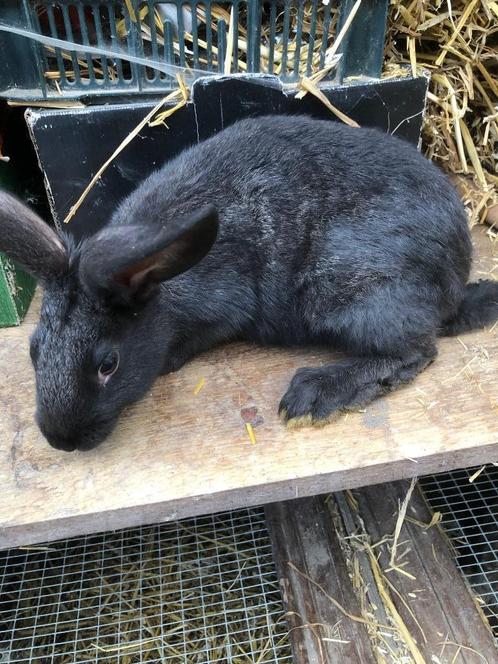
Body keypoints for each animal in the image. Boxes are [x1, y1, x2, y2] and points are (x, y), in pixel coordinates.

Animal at [0, 116, 498, 454]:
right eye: (34, 350)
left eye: (108, 364)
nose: (61, 440)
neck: (164, 284)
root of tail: (456, 277)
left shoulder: (225, 308)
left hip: (349, 288)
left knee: (415, 351)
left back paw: (312, 395)